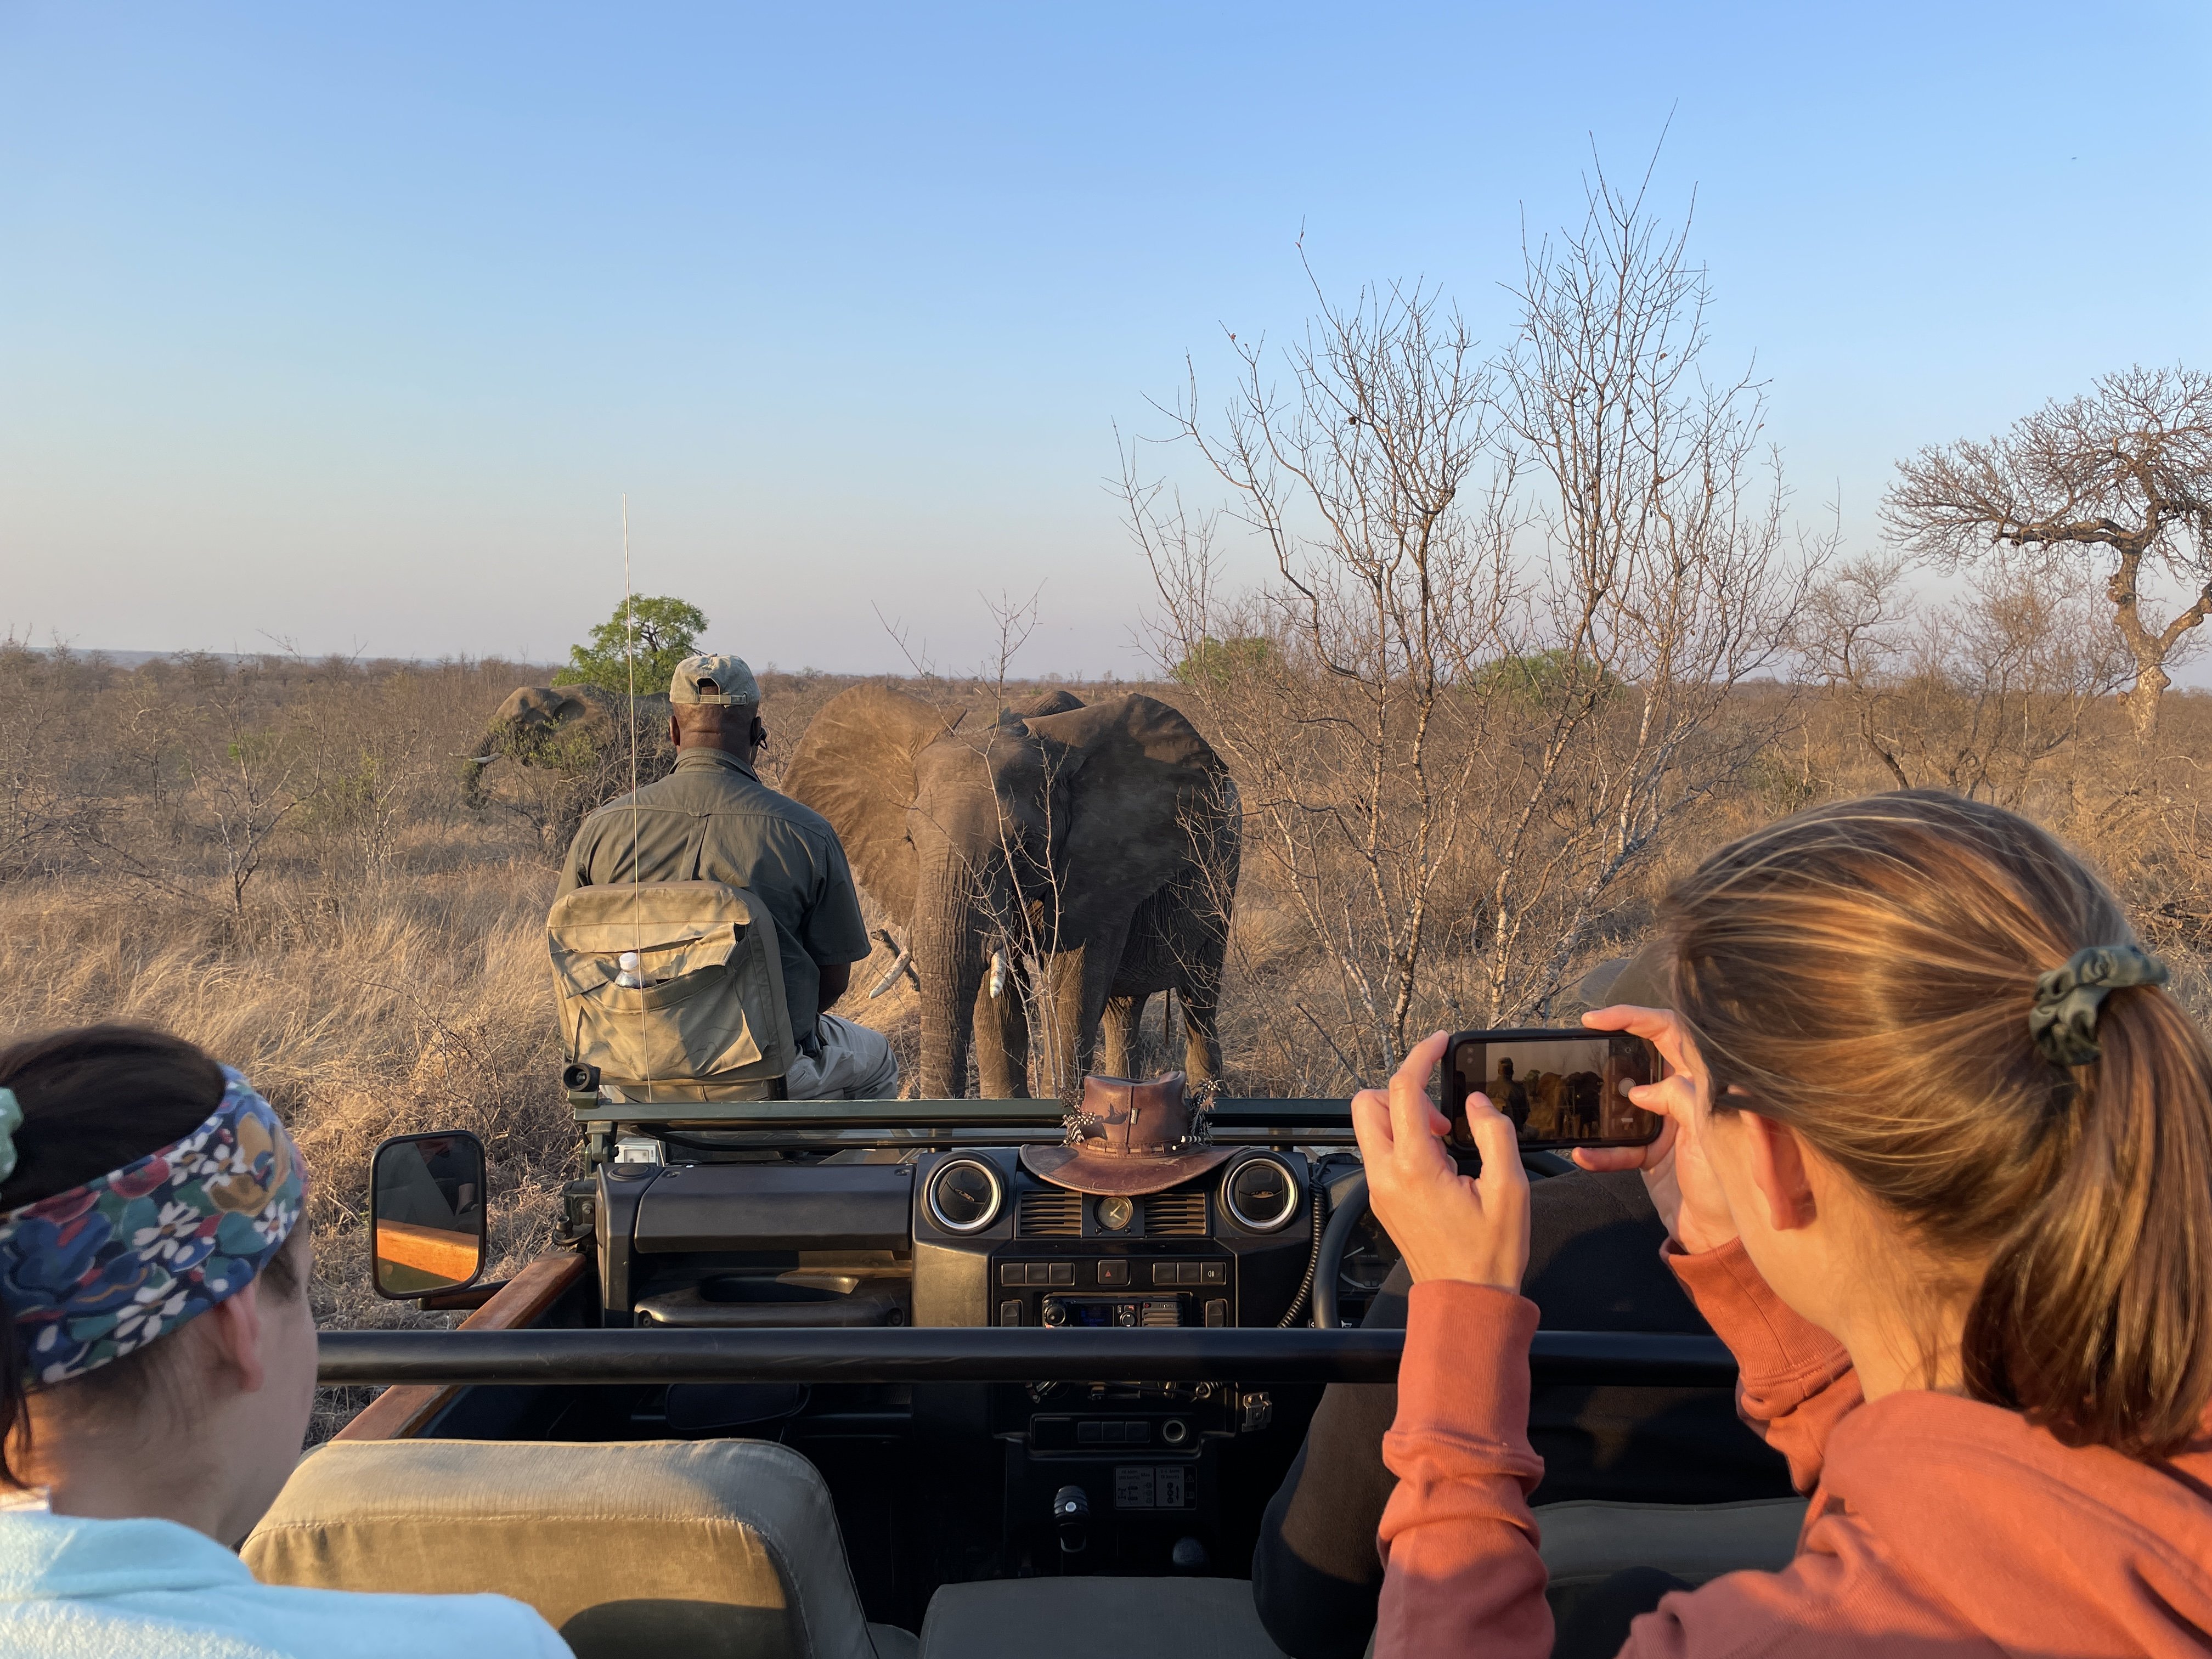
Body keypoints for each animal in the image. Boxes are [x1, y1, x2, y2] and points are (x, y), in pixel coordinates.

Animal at [778, 690, 1238, 1106]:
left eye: (1023, 846)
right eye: (910, 840)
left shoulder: (1103, 862)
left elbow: (1074, 981)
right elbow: (994, 984)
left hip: (1223, 882)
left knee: (1200, 993)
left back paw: (1206, 1096)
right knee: (1123, 1007)